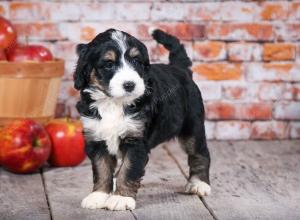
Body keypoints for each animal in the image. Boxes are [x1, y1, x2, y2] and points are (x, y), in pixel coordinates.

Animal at [74, 28, 211, 211]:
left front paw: (121, 198)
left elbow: (128, 169)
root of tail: (180, 69)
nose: (129, 85)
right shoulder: (96, 138)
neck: (113, 103)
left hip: (192, 127)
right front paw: (98, 195)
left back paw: (199, 184)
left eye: (136, 62)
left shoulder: (136, 141)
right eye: (109, 64)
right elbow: (101, 169)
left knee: (200, 153)